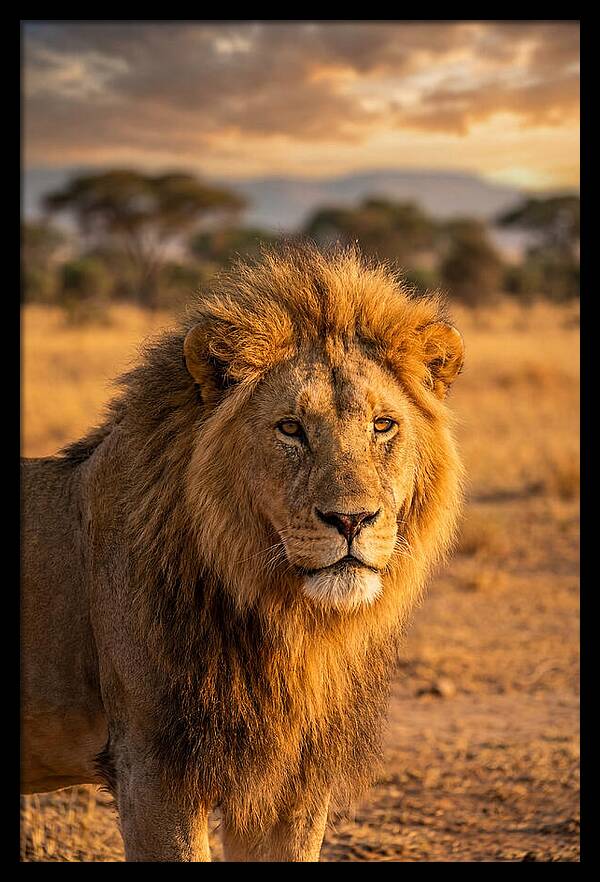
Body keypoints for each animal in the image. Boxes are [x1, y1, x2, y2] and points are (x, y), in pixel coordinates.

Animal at [21, 243, 465, 862]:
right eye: (291, 428)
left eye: (383, 425)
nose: (351, 520)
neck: (290, 625)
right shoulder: (153, 771)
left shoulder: (293, 784)